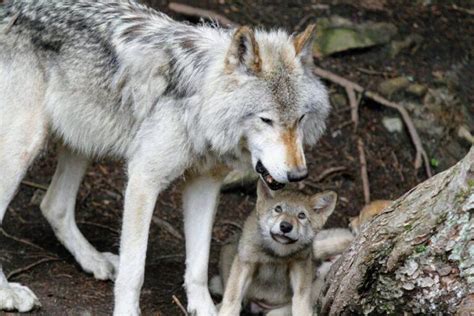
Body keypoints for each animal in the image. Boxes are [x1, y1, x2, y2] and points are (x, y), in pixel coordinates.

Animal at [215, 180, 336, 316]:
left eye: (301, 216)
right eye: (278, 209)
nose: (285, 226)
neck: (276, 254)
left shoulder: (300, 264)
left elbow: (301, 298)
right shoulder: (246, 261)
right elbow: (233, 296)